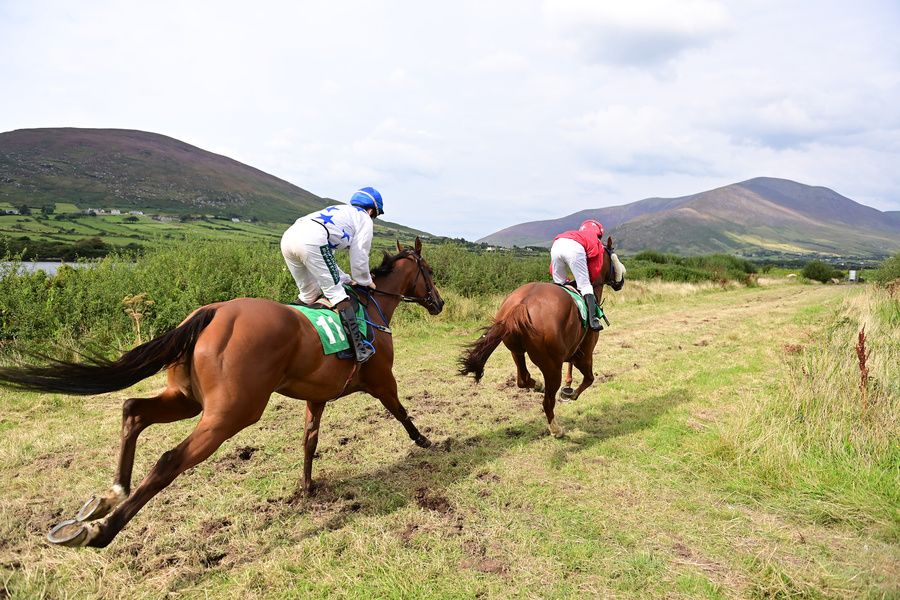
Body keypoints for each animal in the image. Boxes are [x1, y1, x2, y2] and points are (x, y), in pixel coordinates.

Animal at [0, 238, 443, 548]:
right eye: (430, 270)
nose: (438, 303)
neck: (373, 308)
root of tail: (210, 311)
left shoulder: (316, 395)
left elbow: (309, 441)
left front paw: (307, 487)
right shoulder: (381, 380)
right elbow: (401, 411)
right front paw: (427, 442)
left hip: (187, 399)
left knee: (133, 410)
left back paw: (112, 495)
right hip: (232, 412)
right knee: (169, 459)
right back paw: (104, 530)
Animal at [459, 237, 624, 437]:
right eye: (614, 256)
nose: (621, 280)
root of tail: (521, 305)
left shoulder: (572, 350)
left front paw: (568, 388)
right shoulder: (585, 354)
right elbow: (589, 379)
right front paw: (571, 393)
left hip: (516, 351)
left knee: (523, 379)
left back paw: (537, 385)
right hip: (551, 365)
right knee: (547, 402)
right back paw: (556, 429)